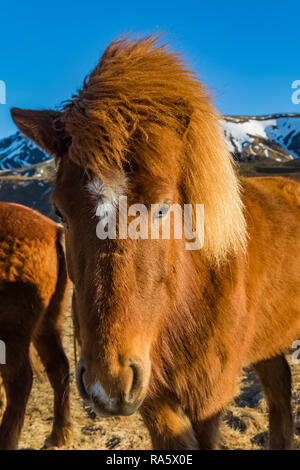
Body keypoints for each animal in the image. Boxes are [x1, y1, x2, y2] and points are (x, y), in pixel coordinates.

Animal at [0, 202, 72, 448]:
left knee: (19, 385)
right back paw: (59, 435)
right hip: (47, 324)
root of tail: (54, 230)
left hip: (12, 334)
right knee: (59, 368)